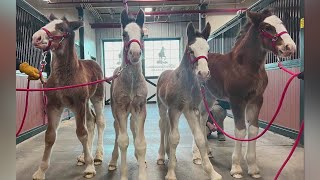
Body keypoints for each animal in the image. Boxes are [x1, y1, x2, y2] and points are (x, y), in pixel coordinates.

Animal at [31, 13, 105, 179]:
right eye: (48, 23)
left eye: (62, 28)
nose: (36, 37)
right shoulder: (53, 105)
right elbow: (50, 136)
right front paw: (40, 171)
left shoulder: (78, 104)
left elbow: (81, 133)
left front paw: (90, 167)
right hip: (86, 102)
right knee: (91, 121)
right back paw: (84, 156)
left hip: (97, 97)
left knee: (99, 122)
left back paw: (97, 156)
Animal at [157, 22, 222, 180]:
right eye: (191, 50)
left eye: (208, 49)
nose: (204, 73)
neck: (185, 84)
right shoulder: (174, 109)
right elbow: (174, 138)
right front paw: (171, 173)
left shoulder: (190, 110)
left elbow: (199, 138)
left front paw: (212, 172)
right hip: (162, 107)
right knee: (163, 126)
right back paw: (161, 156)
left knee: (167, 127)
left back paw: (169, 154)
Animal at [191, 8, 296, 179]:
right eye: (267, 27)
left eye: (282, 23)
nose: (290, 47)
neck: (246, 67)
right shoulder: (237, 100)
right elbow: (240, 130)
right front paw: (236, 168)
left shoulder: (256, 100)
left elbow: (253, 129)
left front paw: (253, 168)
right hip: (200, 96)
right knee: (198, 119)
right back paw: (197, 156)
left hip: (211, 97)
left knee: (203, 118)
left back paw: (207, 152)